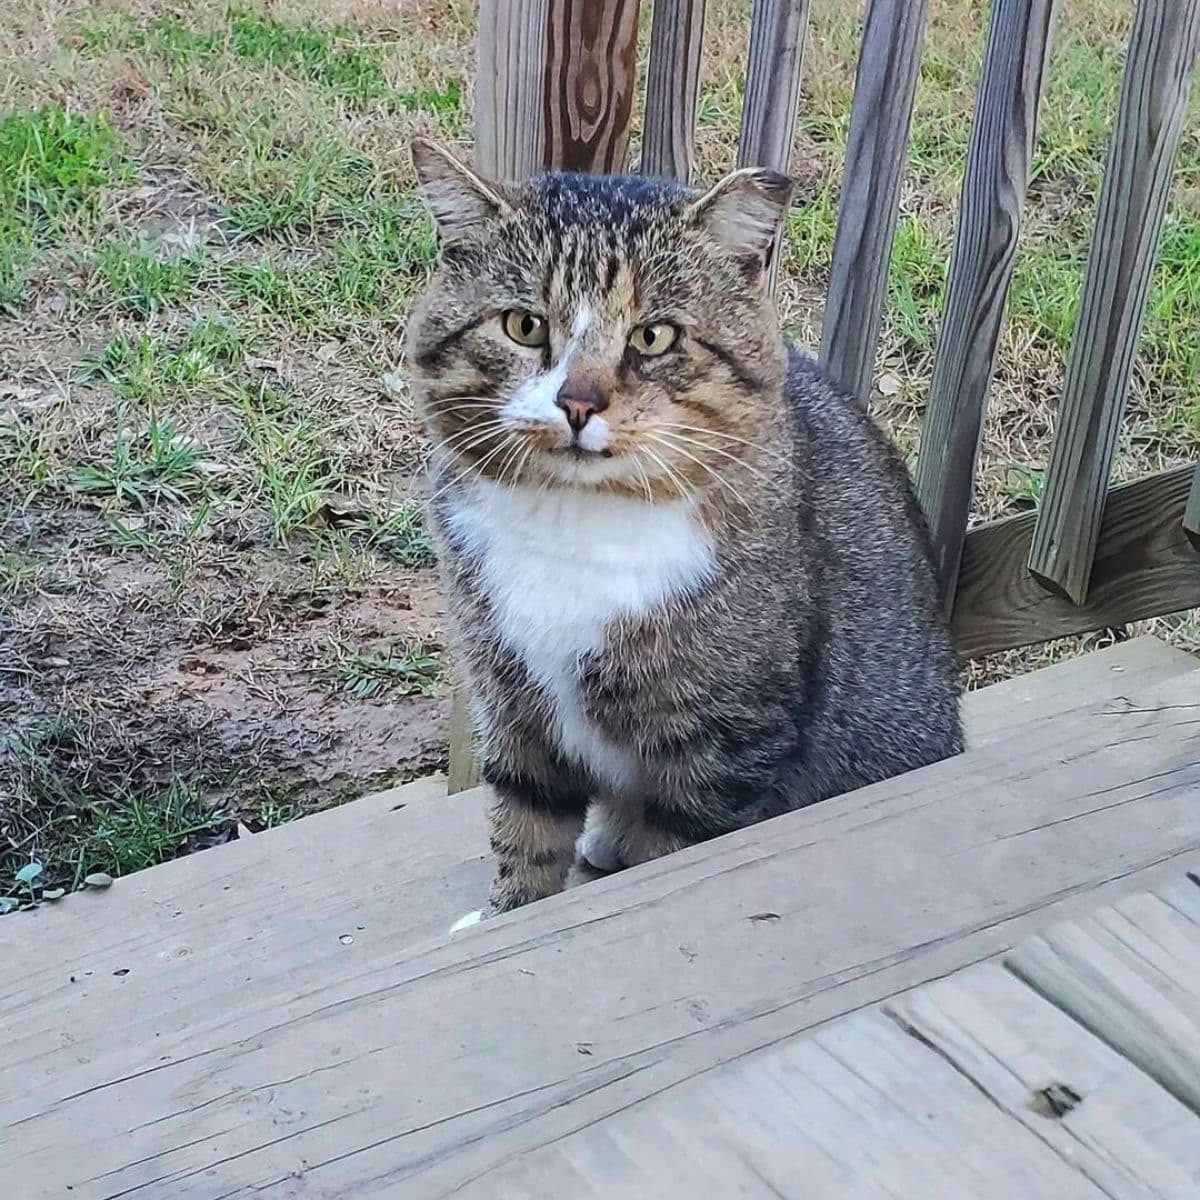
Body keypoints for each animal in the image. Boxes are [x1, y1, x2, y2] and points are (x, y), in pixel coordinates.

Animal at [405, 136, 964, 921]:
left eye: (654, 335)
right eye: (524, 325)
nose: (579, 402)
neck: (575, 528)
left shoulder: (722, 742)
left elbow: (672, 852)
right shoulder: (512, 703)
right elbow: (525, 828)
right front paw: (507, 913)